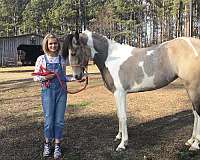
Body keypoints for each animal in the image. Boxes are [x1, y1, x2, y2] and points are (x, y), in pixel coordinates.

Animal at [62, 30, 200, 152]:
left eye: (73, 53)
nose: (77, 77)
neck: (111, 58)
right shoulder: (117, 94)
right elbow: (119, 114)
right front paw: (119, 136)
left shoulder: (120, 93)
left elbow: (123, 116)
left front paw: (123, 144)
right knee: (195, 113)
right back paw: (190, 140)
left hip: (193, 87)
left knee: (198, 113)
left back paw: (195, 145)